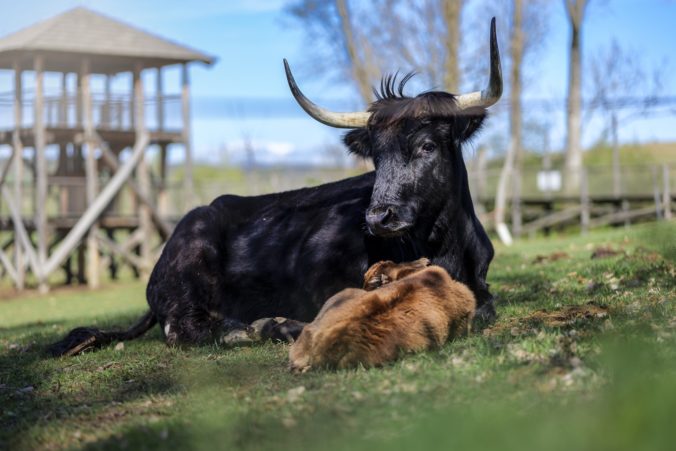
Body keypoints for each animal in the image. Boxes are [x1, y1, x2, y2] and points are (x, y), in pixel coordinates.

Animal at [48, 21, 502, 358]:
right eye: (375, 154)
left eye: (427, 145)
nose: (378, 217)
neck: (442, 244)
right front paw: (280, 325)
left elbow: (485, 309)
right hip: (188, 279)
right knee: (188, 329)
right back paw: (251, 328)